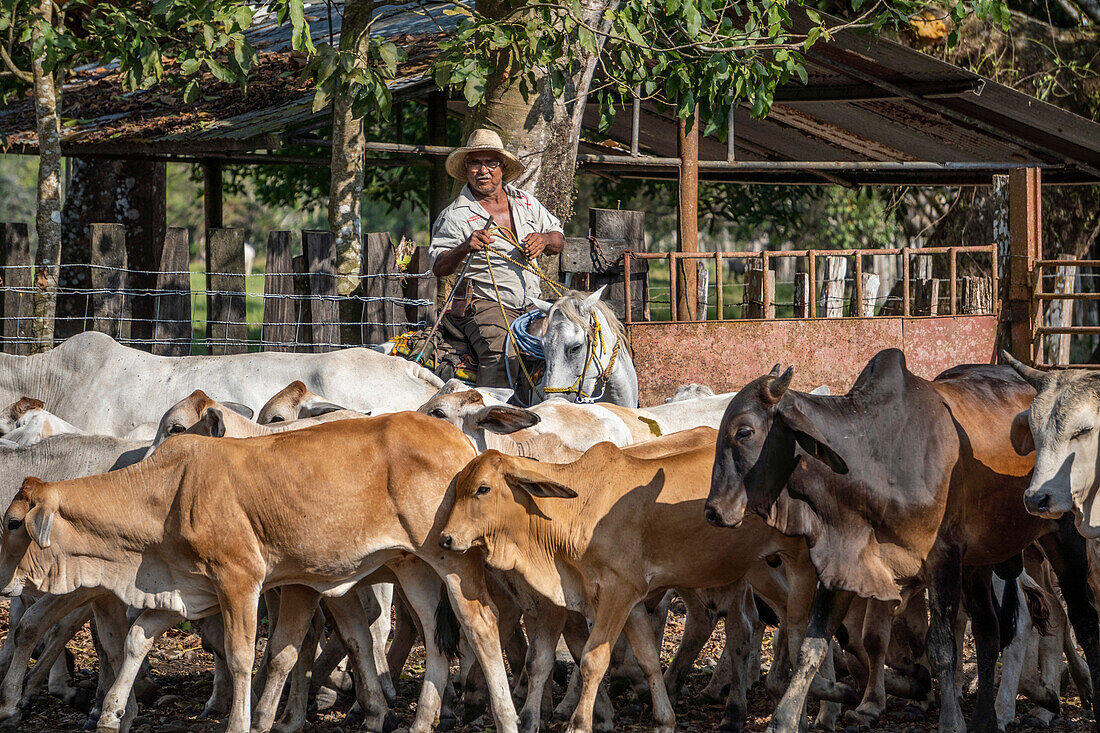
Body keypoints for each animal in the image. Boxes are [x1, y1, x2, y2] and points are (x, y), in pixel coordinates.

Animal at [0, 411, 519, 730]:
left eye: (12, 522)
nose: (5, 581)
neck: (167, 492)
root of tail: (458, 440)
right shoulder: (186, 590)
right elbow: (134, 641)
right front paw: (111, 714)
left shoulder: (239, 580)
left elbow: (242, 656)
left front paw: (240, 721)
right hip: (413, 566)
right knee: (435, 636)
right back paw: (422, 720)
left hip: (454, 559)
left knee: (482, 626)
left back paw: (507, 716)